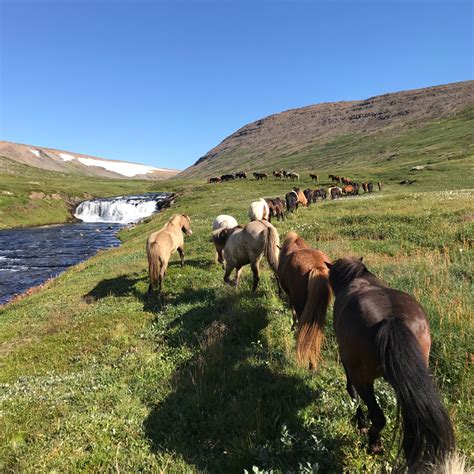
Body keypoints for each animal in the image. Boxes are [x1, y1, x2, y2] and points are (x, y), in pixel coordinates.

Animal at [326, 260, 456, 470]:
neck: (361, 280)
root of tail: (391, 320)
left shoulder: (349, 365)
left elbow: (352, 392)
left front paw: (360, 422)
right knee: (411, 428)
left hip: (364, 379)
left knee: (377, 416)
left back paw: (374, 444)